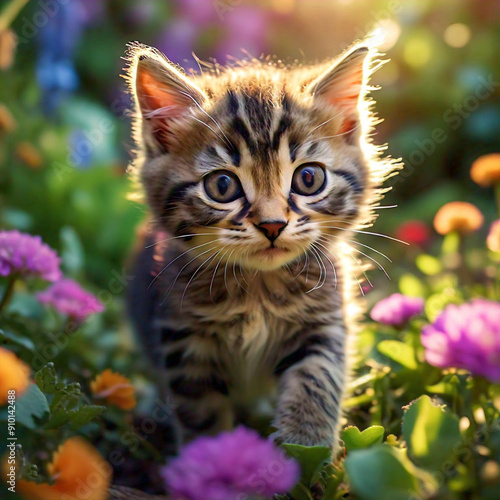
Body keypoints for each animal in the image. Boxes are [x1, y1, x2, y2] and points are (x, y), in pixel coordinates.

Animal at [126, 41, 398, 450]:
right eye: (222, 186)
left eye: (308, 178)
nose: (272, 224)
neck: (259, 289)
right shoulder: (184, 338)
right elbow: (201, 415)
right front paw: (213, 457)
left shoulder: (324, 322)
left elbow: (316, 379)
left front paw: (303, 446)